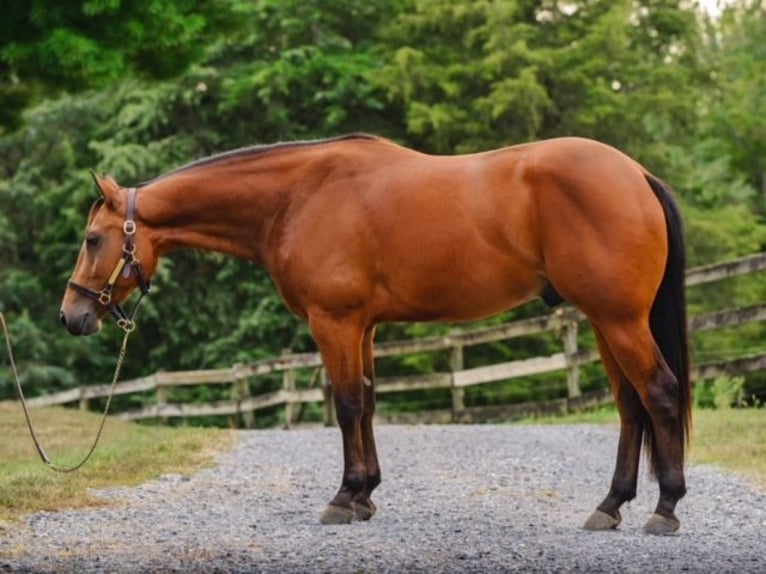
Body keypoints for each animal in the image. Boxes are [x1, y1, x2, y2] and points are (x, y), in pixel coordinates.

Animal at [59, 134, 690, 535]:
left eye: (93, 239)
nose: (71, 316)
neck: (297, 197)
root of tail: (636, 174)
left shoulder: (334, 321)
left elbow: (345, 405)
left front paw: (344, 497)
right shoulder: (361, 326)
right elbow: (365, 403)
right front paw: (365, 496)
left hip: (618, 320)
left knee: (659, 393)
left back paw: (665, 509)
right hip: (605, 322)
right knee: (630, 405)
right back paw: (610, 505)